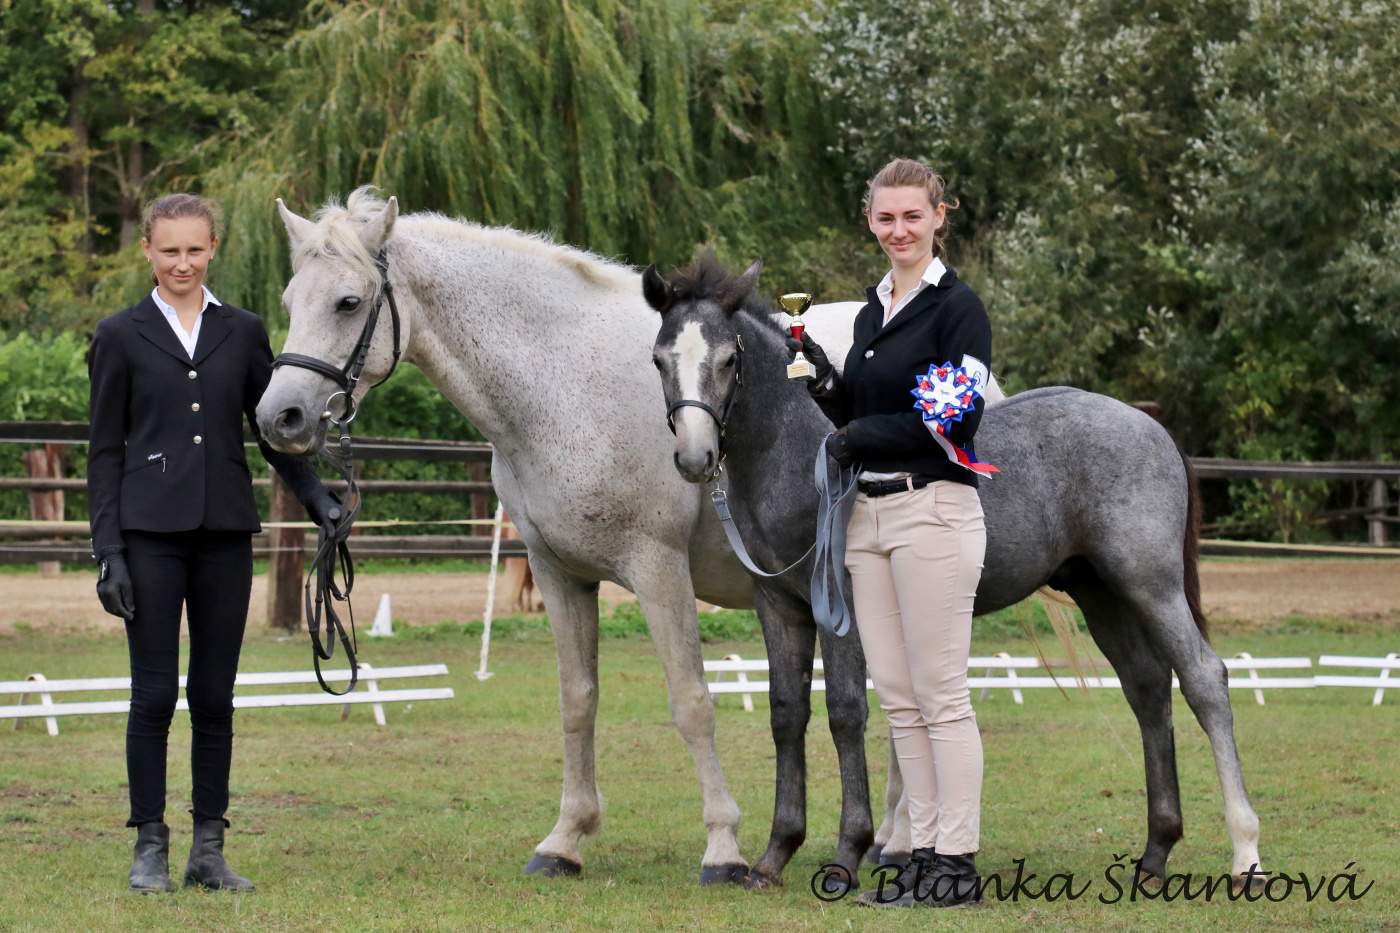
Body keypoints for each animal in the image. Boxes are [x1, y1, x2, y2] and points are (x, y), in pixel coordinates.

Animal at [253, 188, 876, 887]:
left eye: (348, 302)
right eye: (290, 302)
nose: (279, 418)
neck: (567, 384)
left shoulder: (659, 573)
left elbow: (692, 702)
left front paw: (722, 847)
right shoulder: (559, 574)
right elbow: (577, 701)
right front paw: (565, 840)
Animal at [643, 256, 1264, 887]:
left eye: (729, 358)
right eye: (660, 359)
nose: (695, 459)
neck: (795, 453)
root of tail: (1151, 427)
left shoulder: (840, 609)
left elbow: (845, 713)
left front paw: (847, 853)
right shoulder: (780, 607)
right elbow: (787, 714)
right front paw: (774, 854)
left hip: (1151, 586)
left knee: (1204, 680)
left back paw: (1245, 853)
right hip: (1101, 592)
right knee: (1148, 689)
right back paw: (1156, 851)